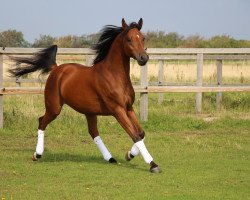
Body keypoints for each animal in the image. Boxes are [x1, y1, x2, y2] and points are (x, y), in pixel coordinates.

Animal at [9, 18, 160, 173]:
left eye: (143, 38)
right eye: (129, 39)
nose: (143, 58)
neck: (113, 75)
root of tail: (56, 69)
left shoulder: (129, 108)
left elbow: (141, 133)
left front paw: (129, 155)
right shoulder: (117, 110)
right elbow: (135, 135)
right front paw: (153, 165)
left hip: (90, 112)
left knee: (93, 132)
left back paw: (110, 158)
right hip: (54, 108)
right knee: (41, 122)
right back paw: (37, 154)